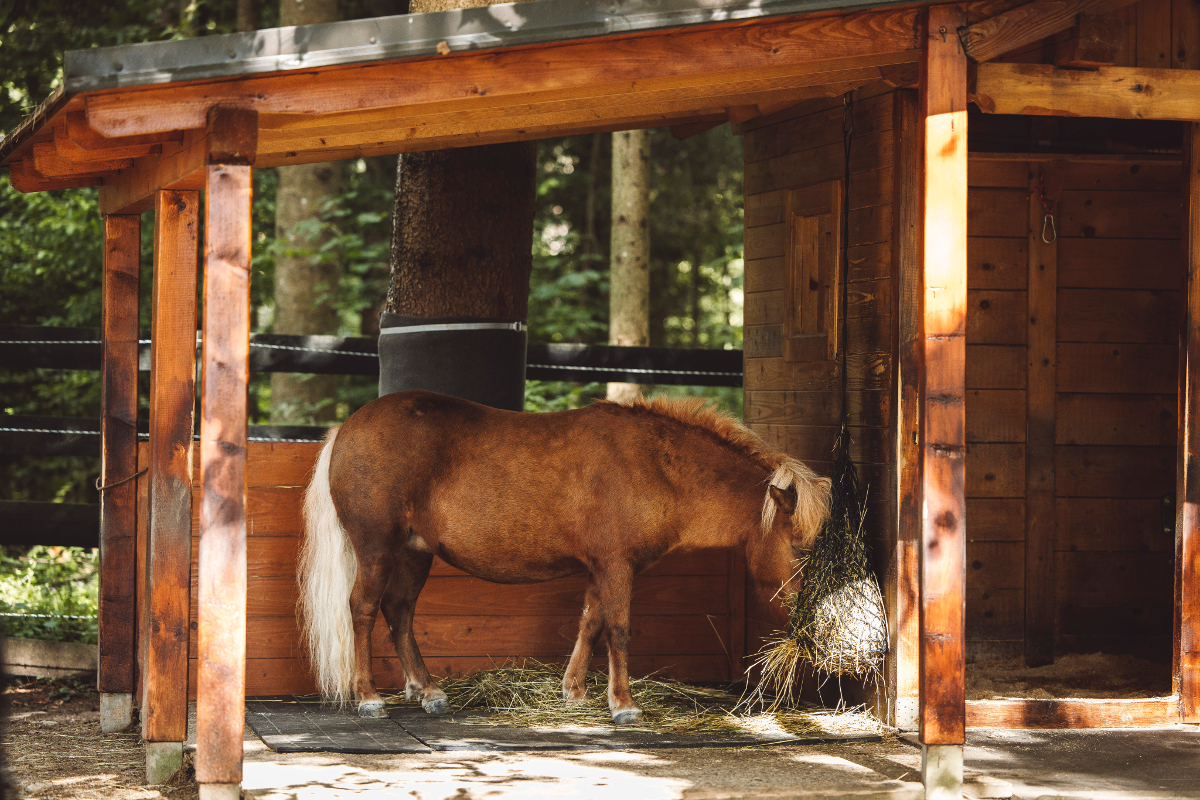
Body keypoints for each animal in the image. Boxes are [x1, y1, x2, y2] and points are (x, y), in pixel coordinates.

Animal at [300, 388, 830, 724]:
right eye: (799, 548)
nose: (807, 621)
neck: (655, 465)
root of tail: (346, 428)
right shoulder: (617, 567)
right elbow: (617, 629)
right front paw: (623, 704)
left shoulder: (602, 568)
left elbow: (590, 623)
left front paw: (573, 692)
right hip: (378, 548)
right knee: (364, 609)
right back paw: (369, 697)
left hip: (414, 553)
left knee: (400, 612)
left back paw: (427, 690)